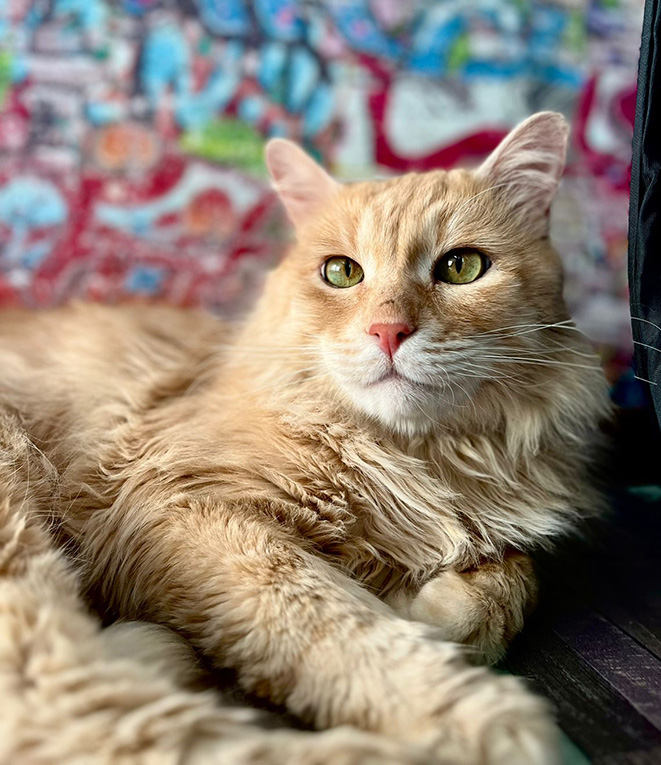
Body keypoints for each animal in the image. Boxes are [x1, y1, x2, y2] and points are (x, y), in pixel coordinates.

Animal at [0, 112, 610, 764]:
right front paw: (449, 686)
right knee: (83, 709)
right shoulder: (182, 504)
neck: (418, 457)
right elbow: (338, 626)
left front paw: (437, 610)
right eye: (341, 273)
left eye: (462, 267)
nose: (388, 331)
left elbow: (512, 584)